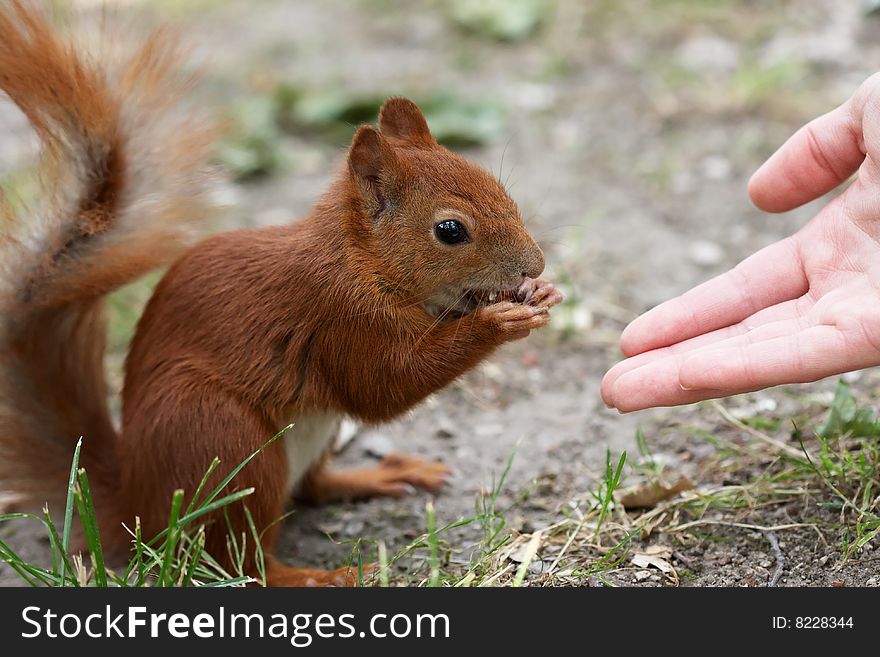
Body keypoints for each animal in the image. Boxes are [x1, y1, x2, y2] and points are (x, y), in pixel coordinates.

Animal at [0, 0, 564, 584]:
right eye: (450, 230)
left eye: (497, 186)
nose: (535, 263)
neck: (361, 260)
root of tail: (137, 509)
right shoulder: (338, 315)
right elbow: (385, 384)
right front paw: (497, 323)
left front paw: (537, 293)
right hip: (223, 441)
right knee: (243, 559)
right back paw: (323, 575)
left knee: (311, 489)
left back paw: (374, 477)